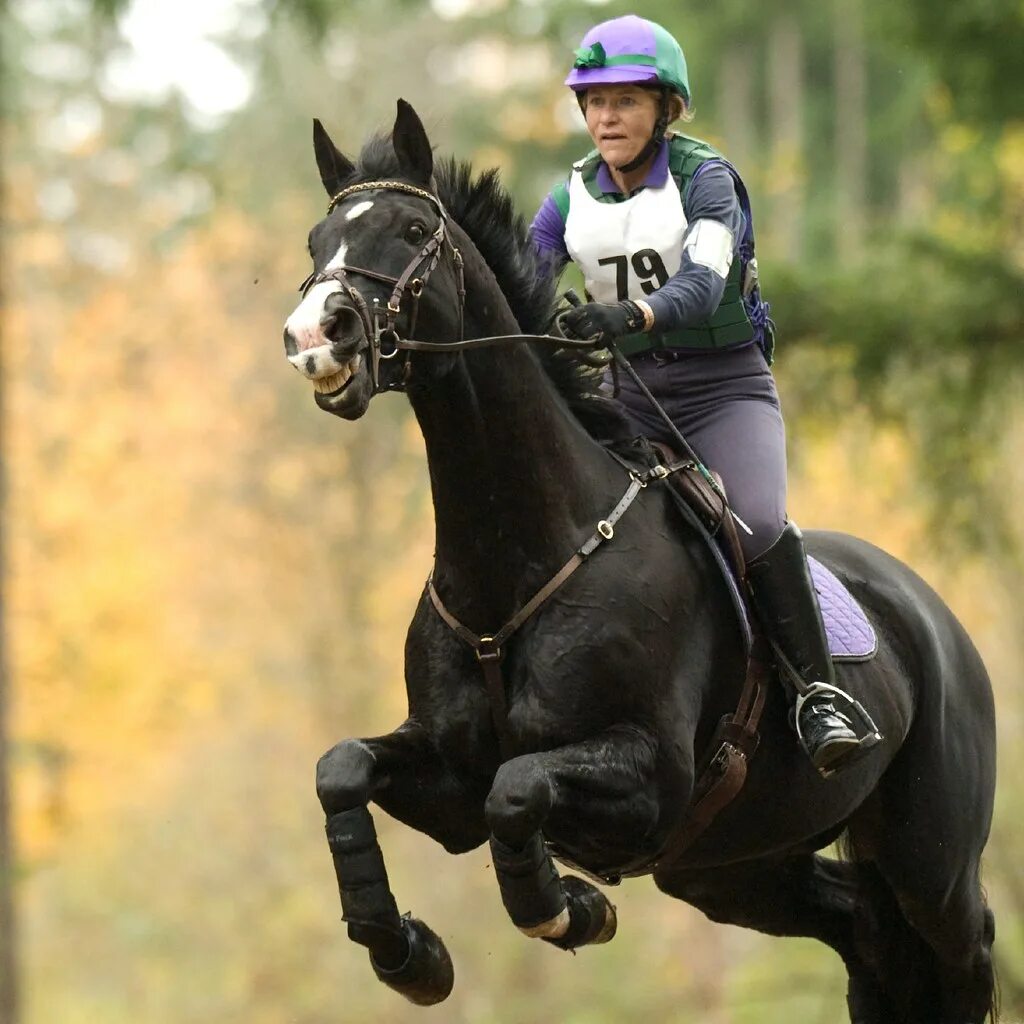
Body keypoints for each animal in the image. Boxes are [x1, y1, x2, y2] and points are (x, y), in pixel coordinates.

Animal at [282, 97, 999, 1024]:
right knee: (866, 933)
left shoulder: (649, 779)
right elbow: (345, 769)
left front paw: (568, 907)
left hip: (930, 864)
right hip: (735, 868)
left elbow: (518, 787)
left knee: (960, 948)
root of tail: (935, 615)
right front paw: (407, 952)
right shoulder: (448, 781)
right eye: (315, 240)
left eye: (411, 229)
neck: (521, 557)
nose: (315, 338)